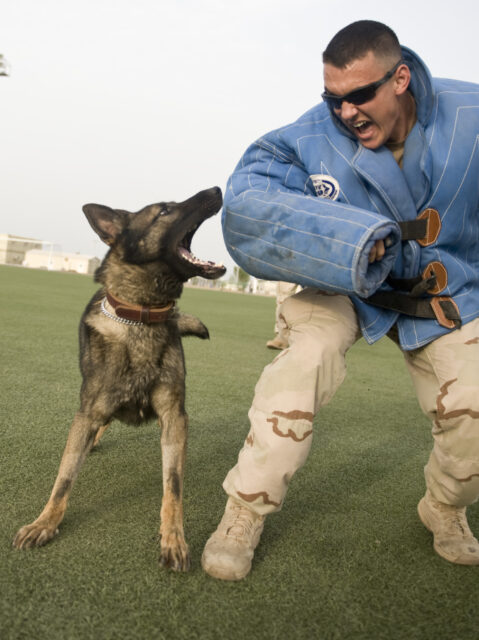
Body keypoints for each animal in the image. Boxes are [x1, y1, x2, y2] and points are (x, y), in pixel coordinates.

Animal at [12, 185, 227, 568]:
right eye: (165, 211)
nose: (217, 189)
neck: (141, 316)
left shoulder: (174, 416)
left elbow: (173, 484)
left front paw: (173, 538)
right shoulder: (86, 413)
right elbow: (64, 477)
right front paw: (45, 522)